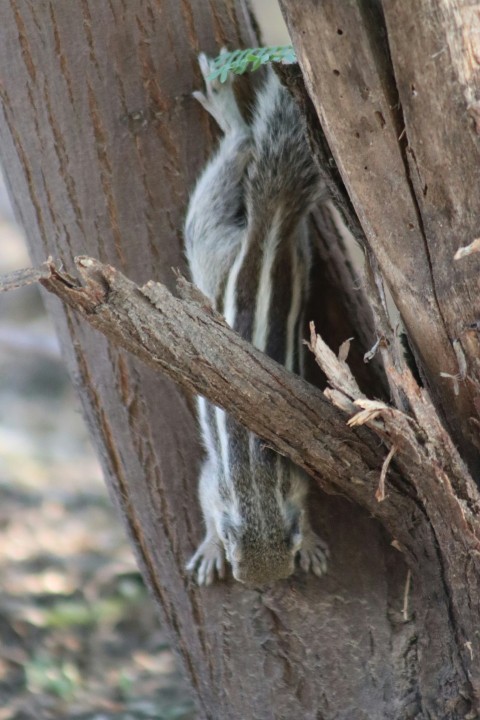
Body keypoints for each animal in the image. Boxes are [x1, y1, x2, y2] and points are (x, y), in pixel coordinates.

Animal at [184, 52, 329, 586]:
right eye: (233, 543)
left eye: (288, 539)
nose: (259, 580)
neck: (256, 491)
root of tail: (270, 231)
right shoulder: (214, 482)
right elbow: (204, 502)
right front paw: (208, 548)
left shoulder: (296, 478)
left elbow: (306, 502)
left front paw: (312, 542)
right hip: (212, 250)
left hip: (241, 253)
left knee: (243, 149)